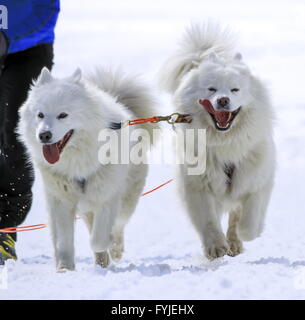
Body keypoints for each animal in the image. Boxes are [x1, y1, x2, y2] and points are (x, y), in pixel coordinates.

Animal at [17, 67, 158, 270]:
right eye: (40, 115)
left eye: (63, 115)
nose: (44, 135)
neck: (77, 162)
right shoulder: (60, 199)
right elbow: (63, 242)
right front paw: (64, 268)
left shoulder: (106, 195)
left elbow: (98, 239)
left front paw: (107, 245)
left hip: (126, 197)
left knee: (118, 225)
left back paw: (114, 251)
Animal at [160, 23, 274, 260]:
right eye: (211, 89)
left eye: (235, 89)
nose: (223, 100)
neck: (225, 143)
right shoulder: (197, 185)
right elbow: (208, 221)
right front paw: (215, 247)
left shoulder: (257, 178)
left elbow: (250, 215)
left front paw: (247, 233)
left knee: (237, 213)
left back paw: (236, 242)